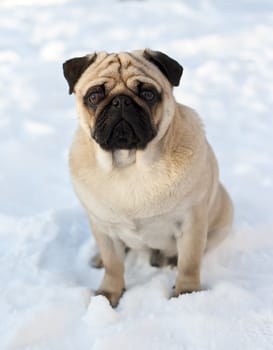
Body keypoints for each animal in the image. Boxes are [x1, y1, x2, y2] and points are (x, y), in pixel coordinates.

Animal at [63, 48, 232, 306]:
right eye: (94, 96)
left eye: (148, 94)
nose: (121, 101)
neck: (130, 164)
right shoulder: (103, 229)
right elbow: (113, 266)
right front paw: (108, 295)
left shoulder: (192, 223)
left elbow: (190, 263)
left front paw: (187, 294)